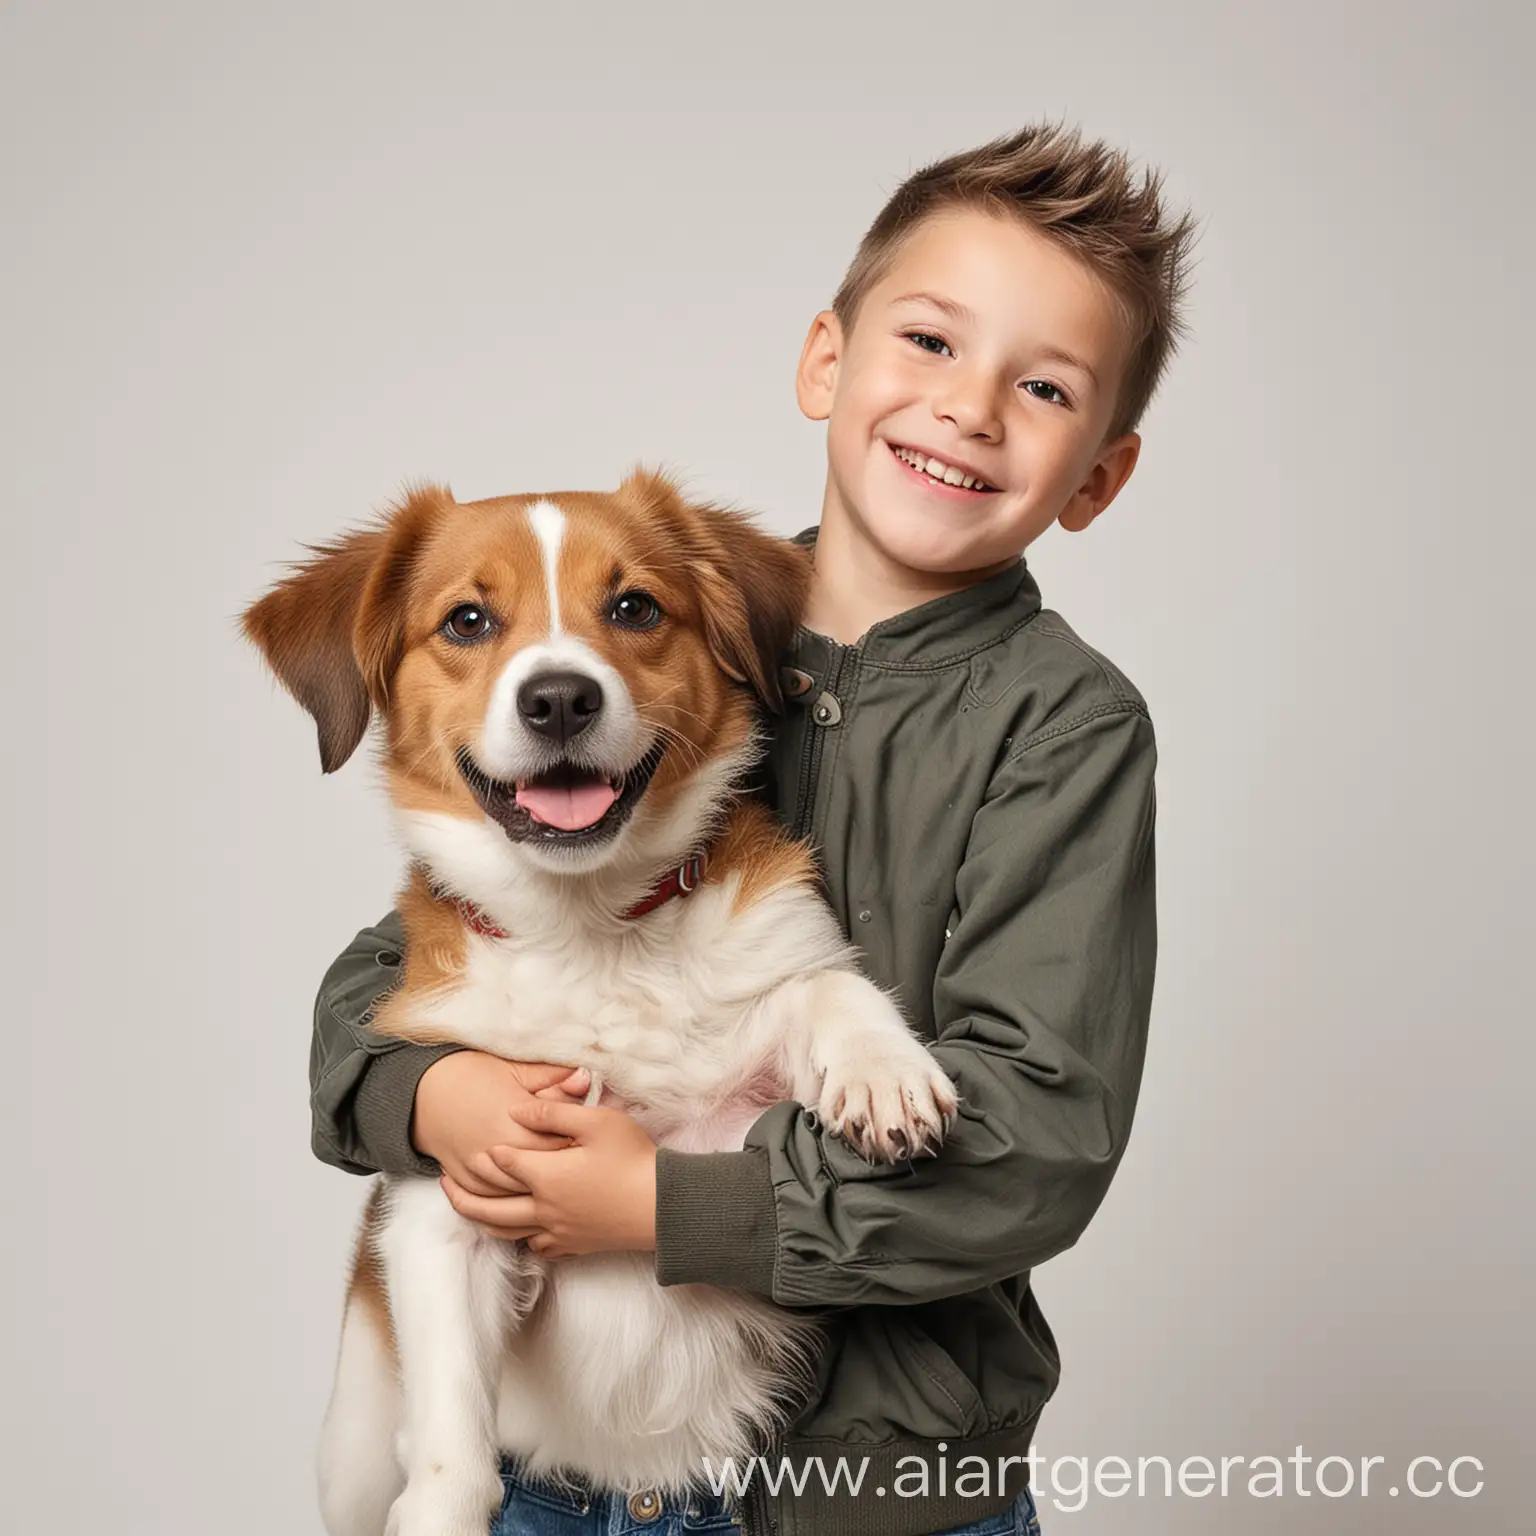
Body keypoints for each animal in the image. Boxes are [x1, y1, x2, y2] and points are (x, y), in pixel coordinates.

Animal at [244, 470, 952, 1536]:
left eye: (634, 608)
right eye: (467, 620)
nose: (559, 699)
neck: (590, 929)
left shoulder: (722, 1123)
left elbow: (821, 987)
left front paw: (882, 1070)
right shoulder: (445, 1206)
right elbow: (451, 1444)